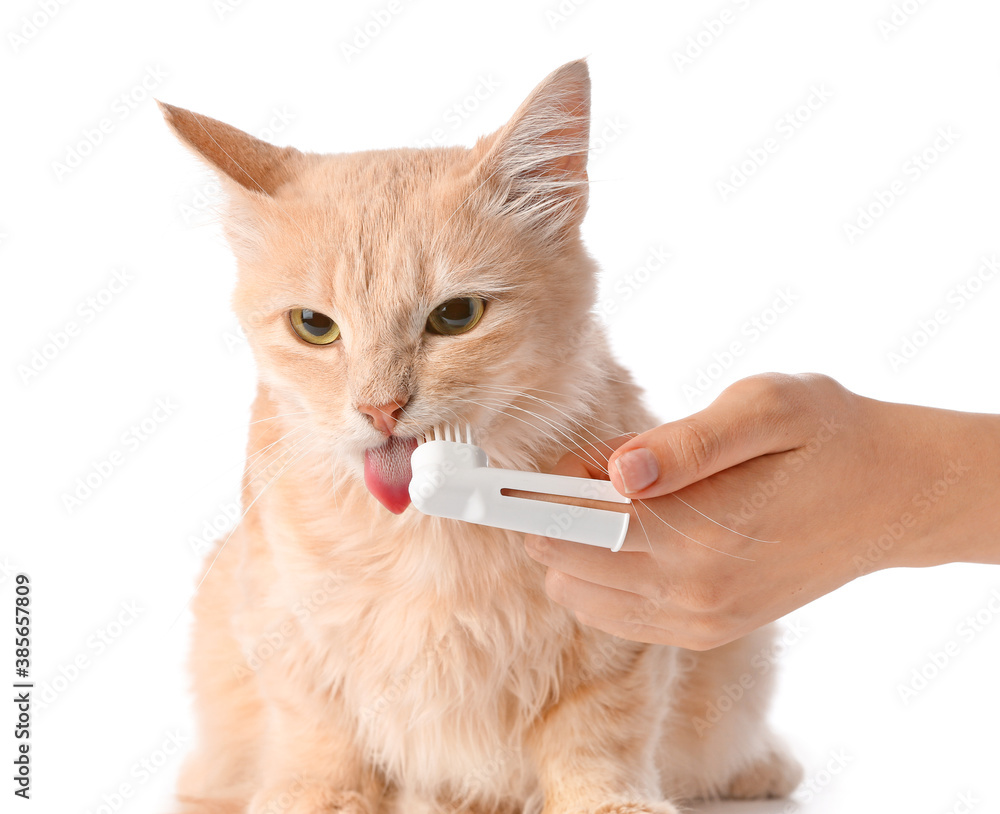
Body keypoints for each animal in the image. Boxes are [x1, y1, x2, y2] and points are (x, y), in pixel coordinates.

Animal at [164, 59, 804, 814]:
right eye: (314, 327)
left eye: (457, 316)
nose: (380, 407)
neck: (429, 537)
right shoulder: (278, 619)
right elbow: (319, 734)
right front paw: (316, 798)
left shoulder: (620, 632)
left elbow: (599, 736)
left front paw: (608, 801)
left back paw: (760, 769)